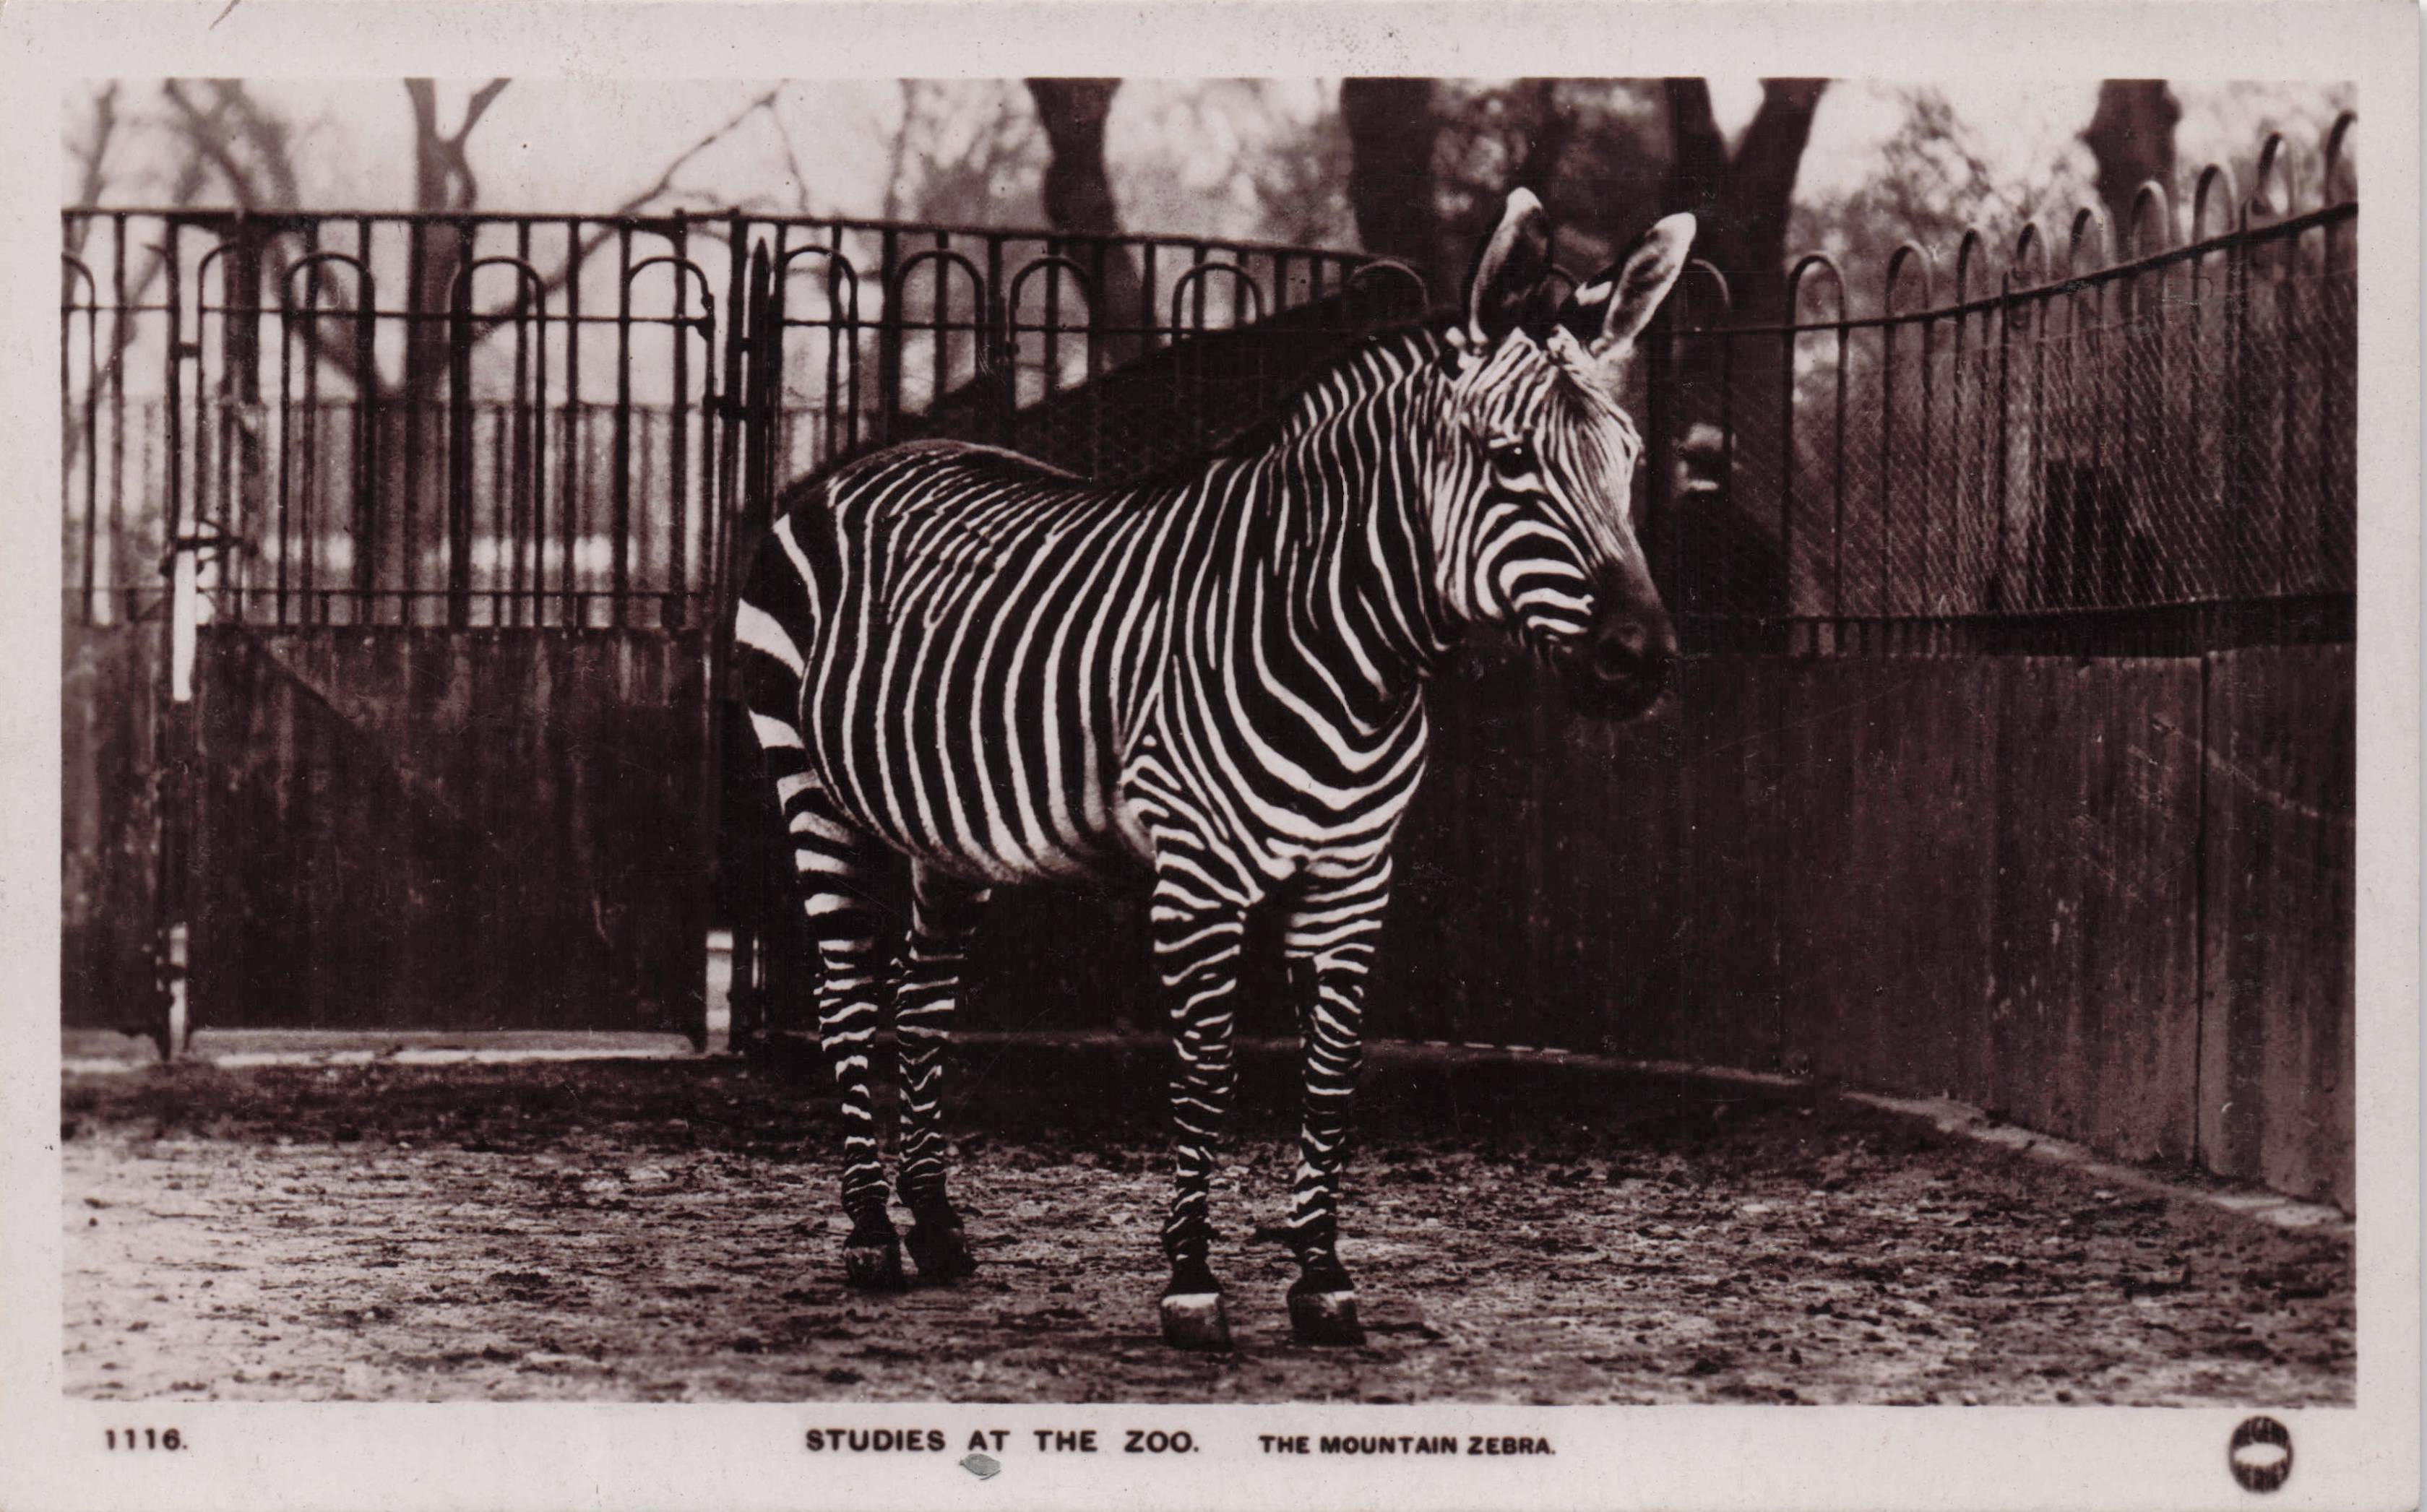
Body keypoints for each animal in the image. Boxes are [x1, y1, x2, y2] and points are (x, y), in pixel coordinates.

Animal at [731, 189, 1693, 1351]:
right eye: (1509, 457)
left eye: (1628, 459)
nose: (1640, 658)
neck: (1348, 651)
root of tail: (865, 462)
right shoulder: (1198, 877)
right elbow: (1205, 1069)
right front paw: (1190, 1277)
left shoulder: (1351, 876)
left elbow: (1331, 1075)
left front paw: (1320, 1274)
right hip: (810, 789)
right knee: (846, 995)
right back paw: (872, 1232)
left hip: (944, 828)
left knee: (919, 998)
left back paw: (937, 1223)